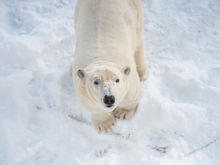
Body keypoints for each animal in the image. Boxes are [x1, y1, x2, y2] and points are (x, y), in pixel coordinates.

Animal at [72, 0, 147, 131]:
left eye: (117, 80)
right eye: (95, 82)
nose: (109, 98)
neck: (101, 58)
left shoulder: (129, 78)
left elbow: (132, 95)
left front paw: (122, 112)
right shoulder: (80, 85)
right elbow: (91, 105)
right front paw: (105, 125)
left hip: (134, 11)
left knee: (138, 41)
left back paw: (142, 72)